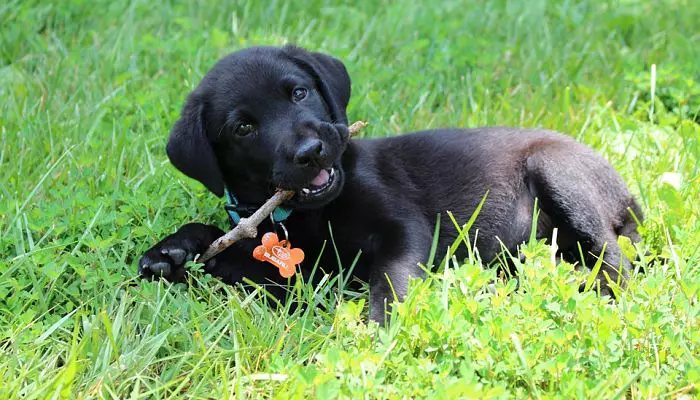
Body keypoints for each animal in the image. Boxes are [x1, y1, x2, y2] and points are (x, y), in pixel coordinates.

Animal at [139, 45, 644, 324]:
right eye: (243, 128)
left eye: (299, 92)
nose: (311, 151)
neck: (309, 215)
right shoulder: (285, 277)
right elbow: (227, 254)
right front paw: (172, 250)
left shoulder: (406, 229)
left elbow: (391, 277)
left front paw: (378, 329)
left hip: (559, 173)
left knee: (616, 262)